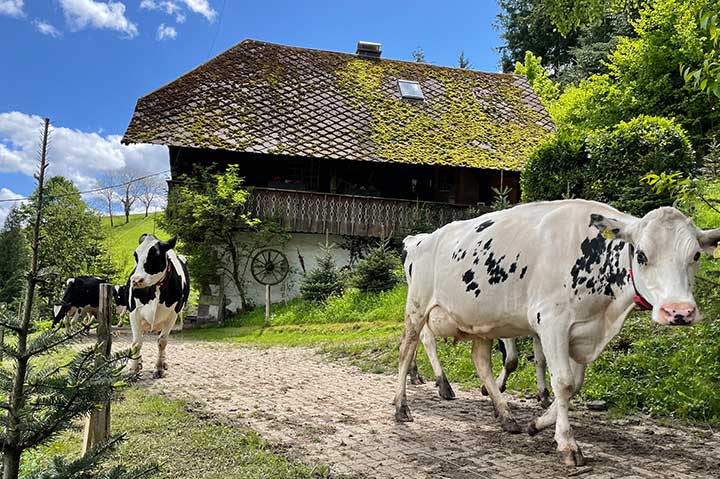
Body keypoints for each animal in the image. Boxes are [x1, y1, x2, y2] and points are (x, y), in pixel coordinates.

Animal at [396, 201, 716, 466]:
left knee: (481, 361)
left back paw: (505, 415)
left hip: (481, 323)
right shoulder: (552, 323)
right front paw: (568, 444)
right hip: (418, 308)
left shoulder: (583, 332)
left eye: (695, 255)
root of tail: (422, 238)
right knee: (408, 349)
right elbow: (562, 382)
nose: (679, 311)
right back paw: (404, 405)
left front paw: (537, 423)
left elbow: (575, 384)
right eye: (641, 254)